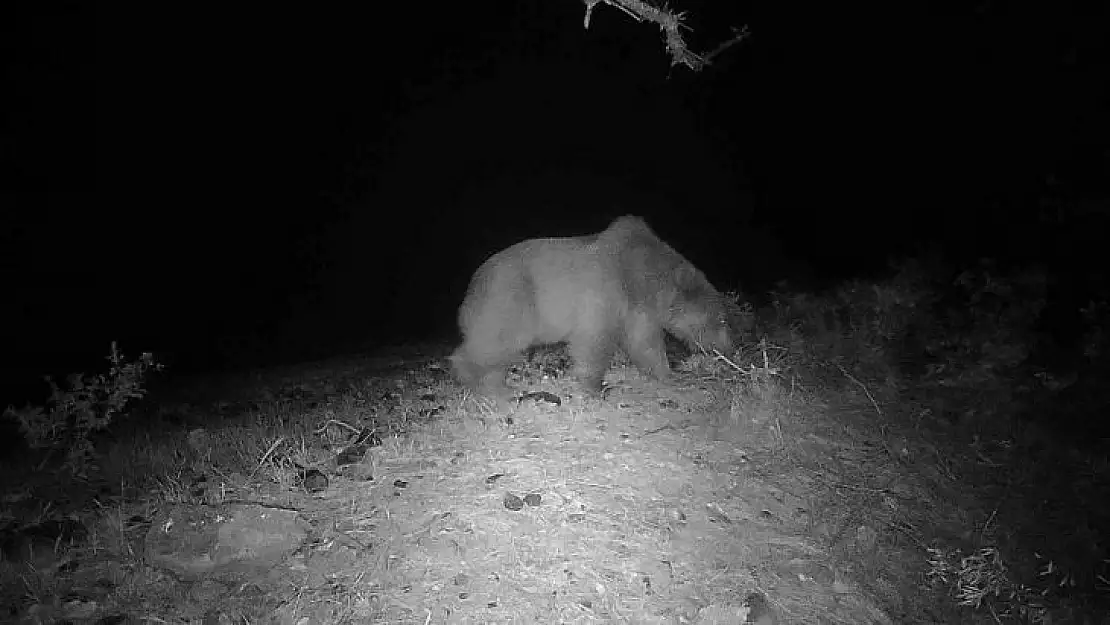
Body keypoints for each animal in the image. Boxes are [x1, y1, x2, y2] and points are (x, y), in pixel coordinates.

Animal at [446, 214, 732, 401]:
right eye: (721, 320)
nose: (731, 348)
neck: (642, 277)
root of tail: (471, 286)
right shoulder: (605, 287)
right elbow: (595, 338)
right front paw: (596, 387)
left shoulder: (638, 309)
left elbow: (645, 341)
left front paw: (668, 374)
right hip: (510, 297)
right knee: (496, 339)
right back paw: (484, 385)